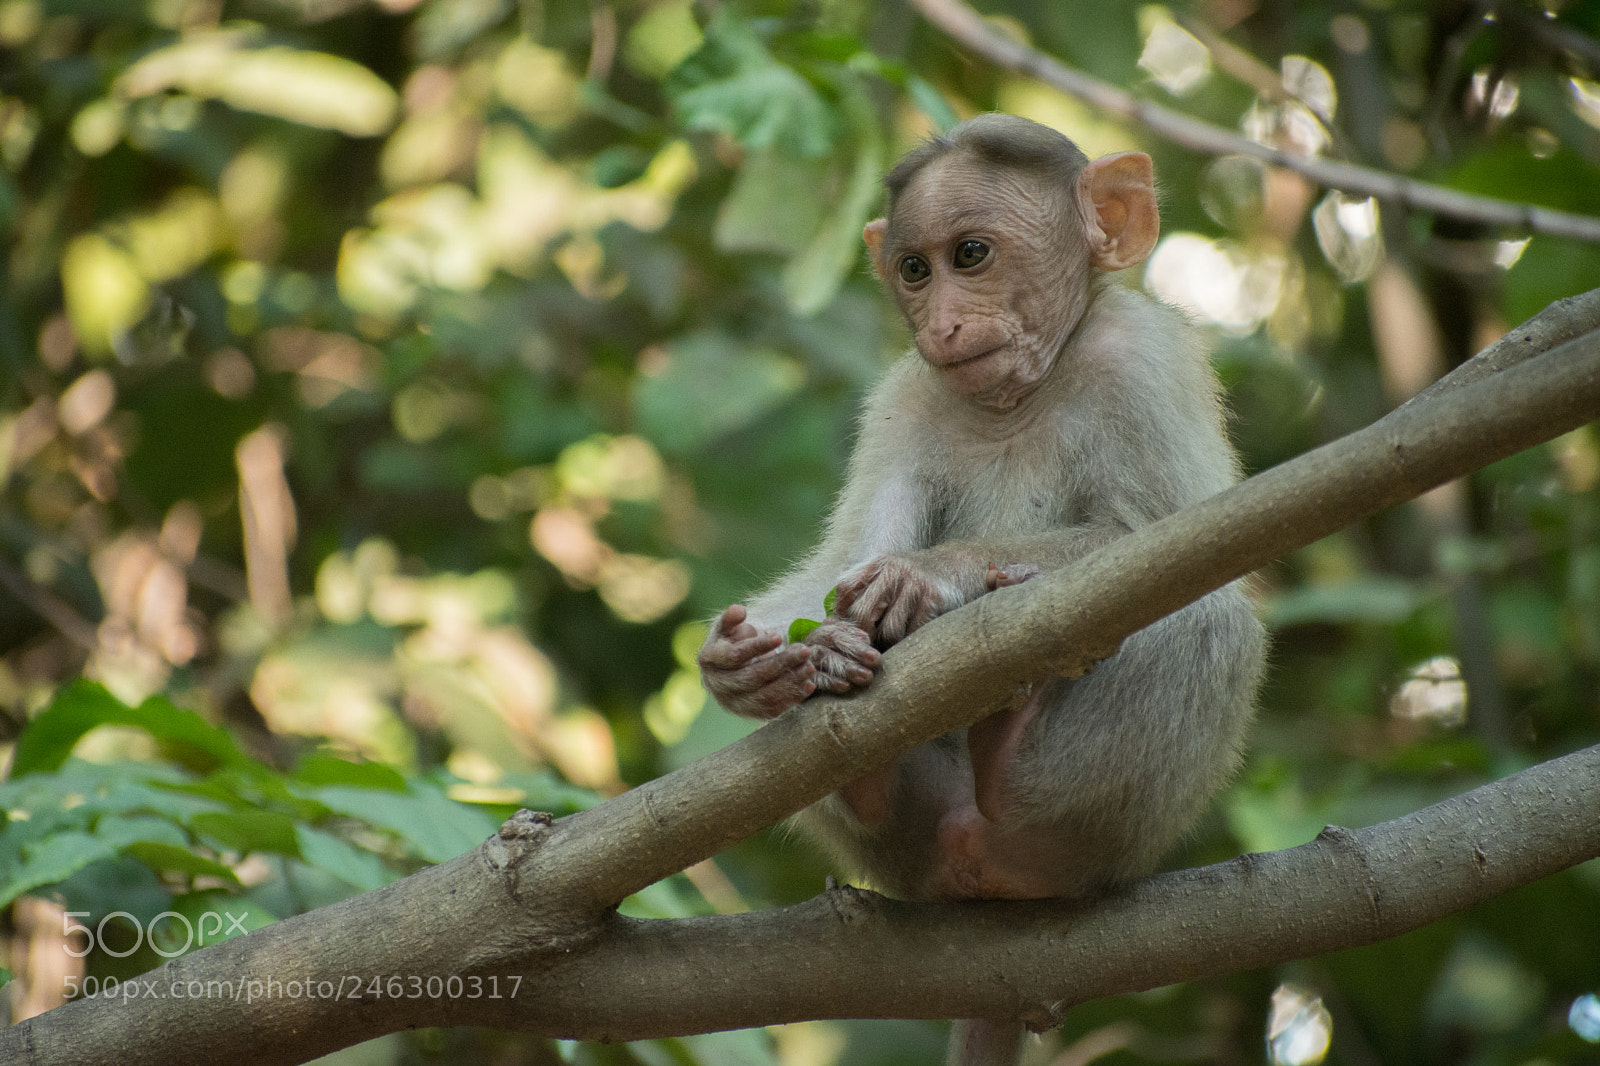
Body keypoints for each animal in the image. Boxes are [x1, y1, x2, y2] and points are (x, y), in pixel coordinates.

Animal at [698, 114, 1265, 1063]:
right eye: (914, 271)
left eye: (971, 253)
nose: (945, 322)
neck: (1019, 398)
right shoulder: (903, 397)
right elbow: (846, 556)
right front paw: (744, 660)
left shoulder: (1140, 360)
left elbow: (1177, 542)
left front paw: (934, 576)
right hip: (910, 842)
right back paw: (862, 757)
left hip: (1113, 840)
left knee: (1208, 617)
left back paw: (1016, 761)